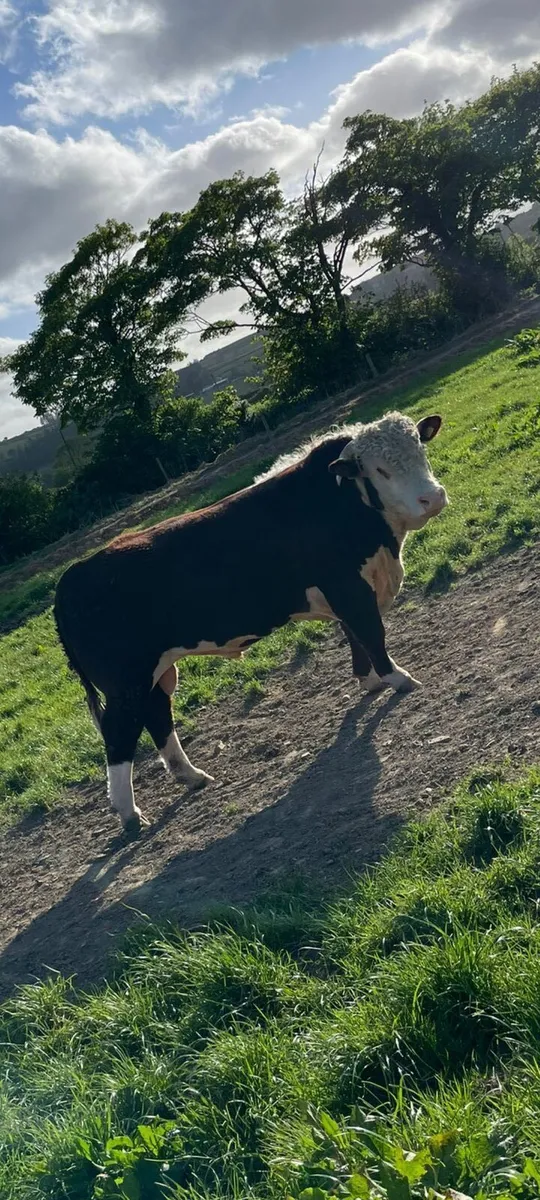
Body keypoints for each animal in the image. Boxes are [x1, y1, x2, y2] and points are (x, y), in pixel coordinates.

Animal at [54, 410, 448, 834]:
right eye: (379, 470)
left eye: (419, 448)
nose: (433, 497)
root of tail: (71, 575)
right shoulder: (348, 587)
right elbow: (372, 634)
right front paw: (399, 679)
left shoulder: (350, 592)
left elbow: (355, 636)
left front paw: (370, 681)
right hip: (125, 683)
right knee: (119, 735)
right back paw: (129, 812)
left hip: (155, 673)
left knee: (157, 715)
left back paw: (191, 776)